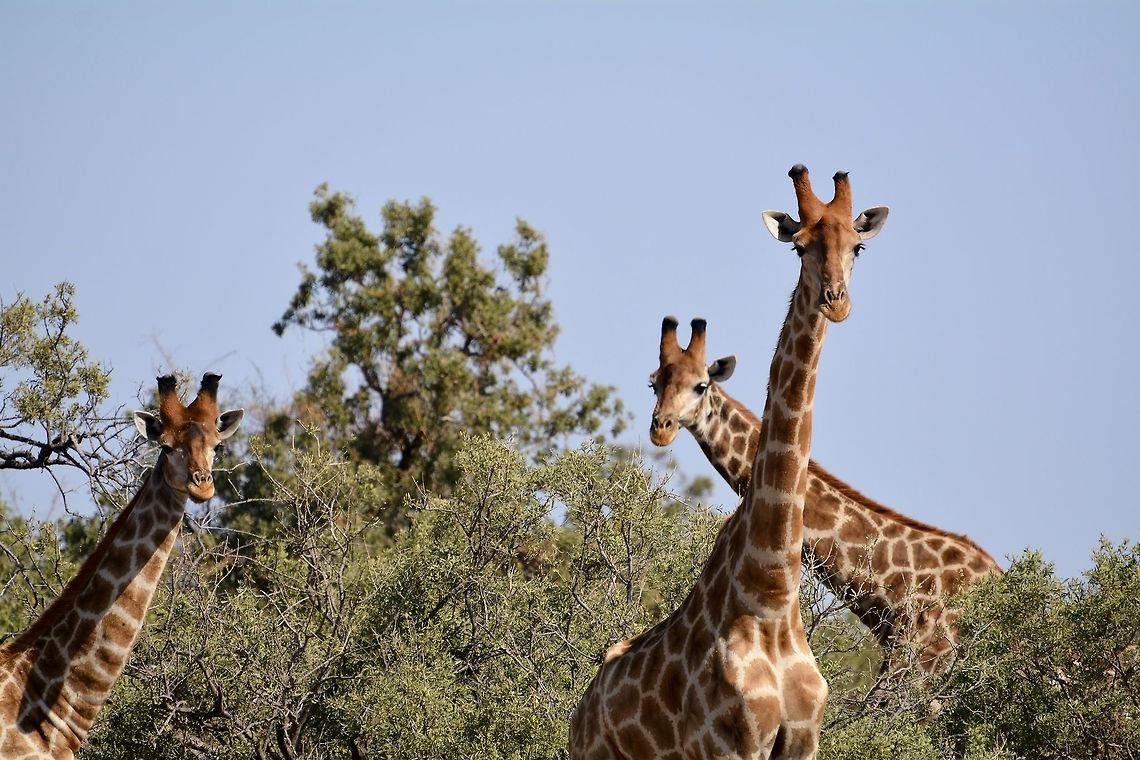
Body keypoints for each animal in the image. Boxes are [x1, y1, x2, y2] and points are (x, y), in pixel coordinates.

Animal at [570, 165, 889, 759]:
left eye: (857, 246)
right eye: (799, 246)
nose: (836, 301)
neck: (770, 593)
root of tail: (581, 711)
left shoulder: (803, 742)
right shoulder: (730, 744)